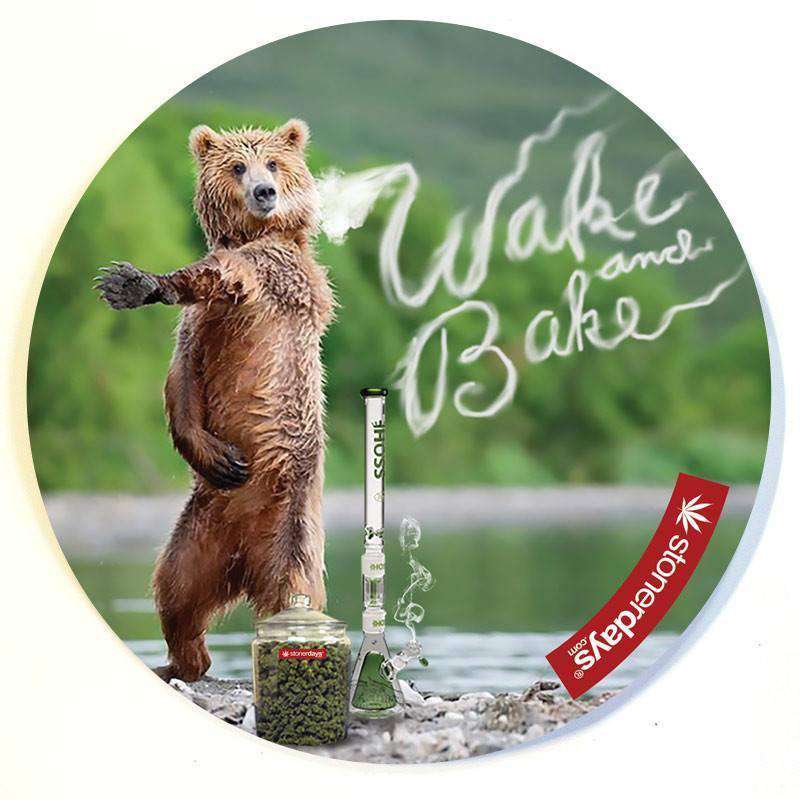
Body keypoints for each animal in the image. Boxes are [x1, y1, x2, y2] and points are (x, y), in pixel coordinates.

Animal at [95, 119, 334, 682]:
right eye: (238, 166)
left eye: (274, 163)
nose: (265, 192)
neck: (258, 233)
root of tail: (244, 564)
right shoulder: (196, 333)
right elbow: (181, 381)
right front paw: (219, 457)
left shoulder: (269, 276)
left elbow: (223, 274)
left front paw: (142, 283)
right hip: (199, 531)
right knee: (175, 589)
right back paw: (183, 662)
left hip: (292, 529)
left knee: (294, 592)